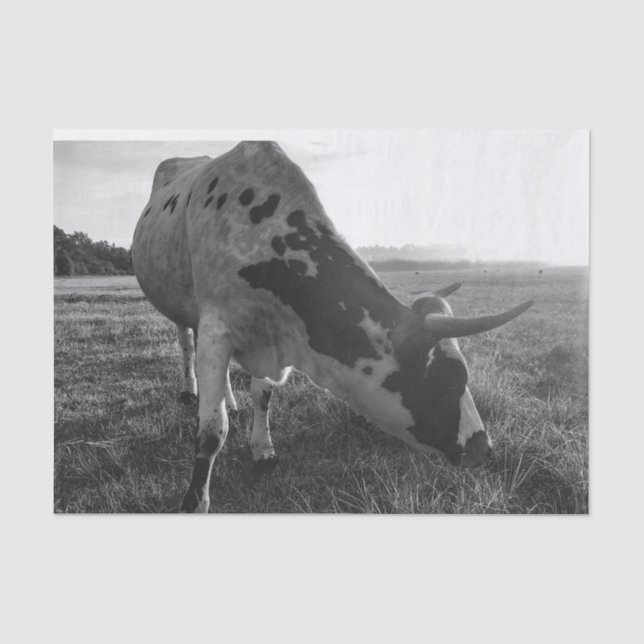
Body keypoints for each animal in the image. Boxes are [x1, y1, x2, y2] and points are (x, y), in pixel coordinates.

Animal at [131, 141, 533, 513]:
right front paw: (195, 500)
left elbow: (262, 397)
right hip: (180, 306)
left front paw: (262, 449)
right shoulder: (218, 327)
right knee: (187, 344)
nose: (482, 447)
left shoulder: (267, 332)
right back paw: (191, 390)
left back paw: (230, 399)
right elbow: (212, 430)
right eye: (451, 379)